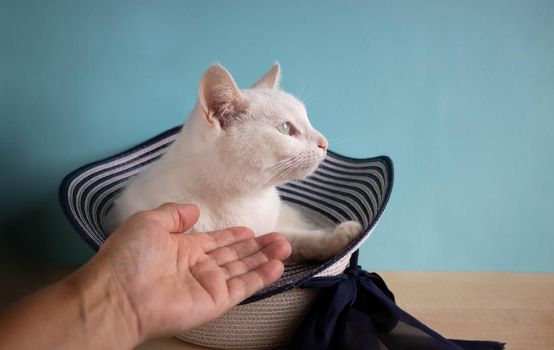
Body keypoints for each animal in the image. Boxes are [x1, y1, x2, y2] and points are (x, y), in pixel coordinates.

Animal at [104, 63, 362, 262]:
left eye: (307, 120)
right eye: (285, 128)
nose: (324, 143)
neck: (244, 200)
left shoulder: (271, 231)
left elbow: (301, 240)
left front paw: (342, 236)